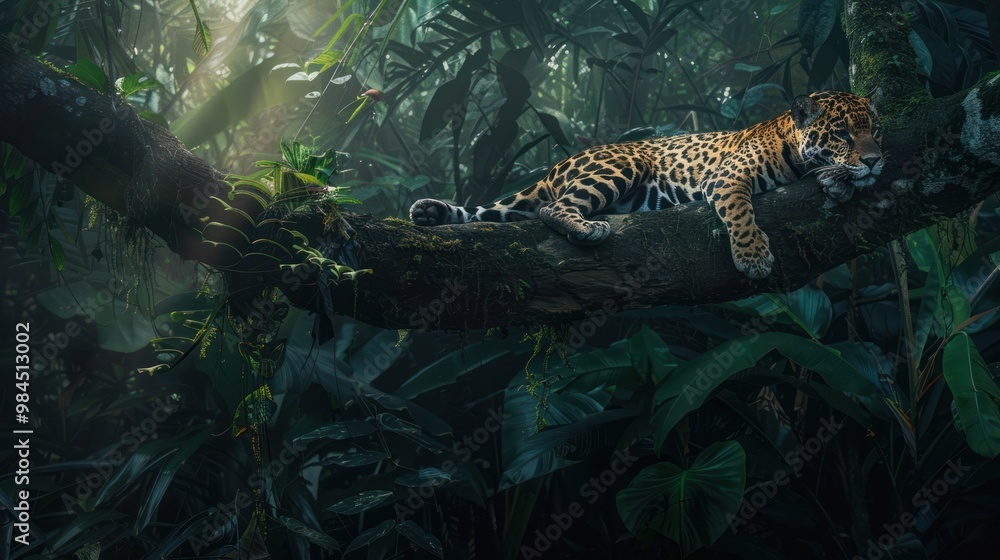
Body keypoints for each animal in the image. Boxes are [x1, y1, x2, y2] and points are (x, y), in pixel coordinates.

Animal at [409, 89, 884, 279]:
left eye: (874, 130)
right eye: (842, 133)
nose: (876, 161)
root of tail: (556, 165)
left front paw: (841, 181)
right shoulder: (728, 177)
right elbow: (741, 214)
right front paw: (753, 258)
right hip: (623, 163)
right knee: (551, 207)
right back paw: (586, 229)